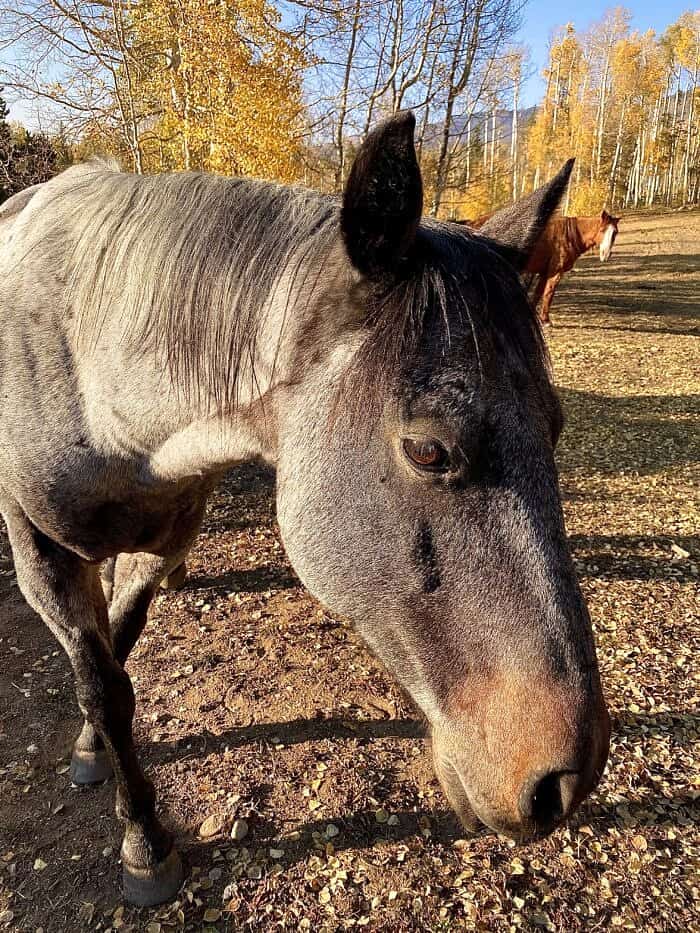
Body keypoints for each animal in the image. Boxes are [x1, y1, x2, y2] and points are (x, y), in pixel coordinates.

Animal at [0, 114, 610, 906]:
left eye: (555, 425)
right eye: (428, 451)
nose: (567, 777)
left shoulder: (159, 540)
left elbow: (118, 654)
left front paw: (93, 749)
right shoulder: (39, 554)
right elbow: (104, 687)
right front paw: (143, 843)